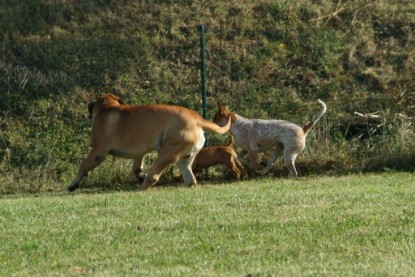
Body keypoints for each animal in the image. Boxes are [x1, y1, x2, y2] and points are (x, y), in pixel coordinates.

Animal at [68, 94, 231, 191]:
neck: (108, 107)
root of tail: (198, 119)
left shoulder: (98, 152)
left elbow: (83, 166)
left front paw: (73, 184)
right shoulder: (139, 153)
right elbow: (136, 167)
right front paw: (139, 173)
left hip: (166, 152)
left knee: (153, 177)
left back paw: (142, 186)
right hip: (184, 157)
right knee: (190, 178)